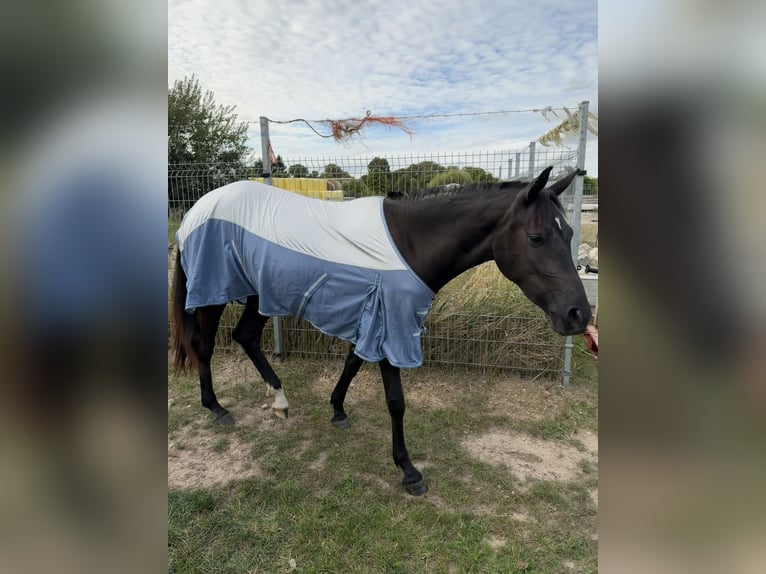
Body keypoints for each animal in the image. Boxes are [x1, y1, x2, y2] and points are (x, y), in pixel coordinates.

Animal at [170, 166, 591, 496]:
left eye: (570, 234)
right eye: (536, 237)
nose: (579, 315)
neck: (411, 242)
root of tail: (197, 210)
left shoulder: (374, 320)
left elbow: (353, 363)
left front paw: (338, 411)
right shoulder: (391, 324)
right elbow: (395, 400)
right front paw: (408, 471)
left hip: (260, 294)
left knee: (245, 337)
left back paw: (279, 401)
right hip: (214, 293)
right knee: (203, 345)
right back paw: (216, 407)